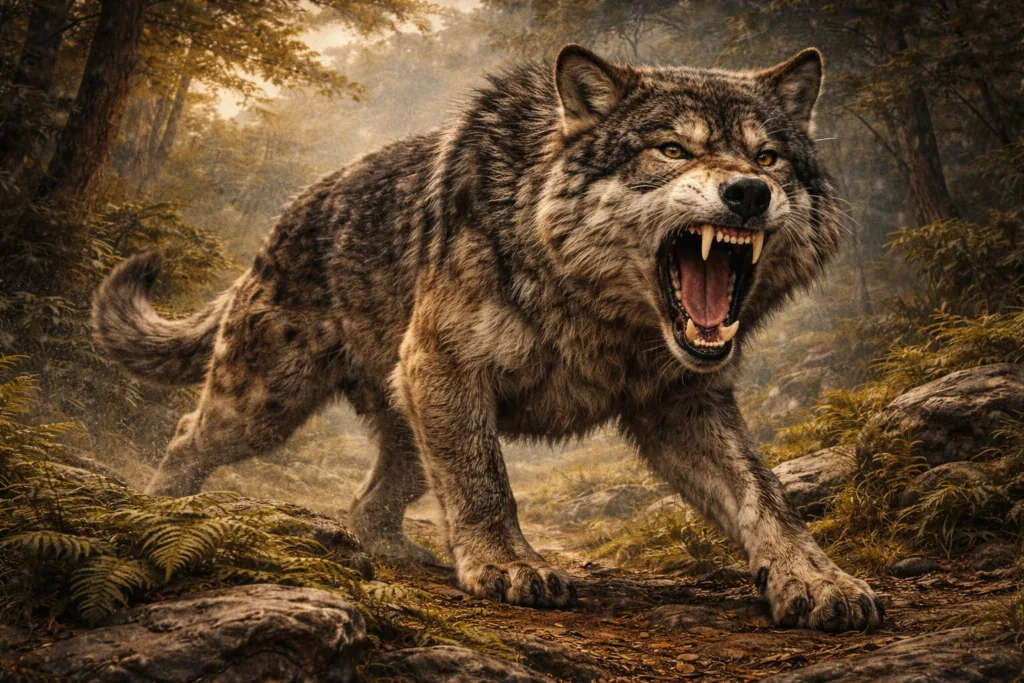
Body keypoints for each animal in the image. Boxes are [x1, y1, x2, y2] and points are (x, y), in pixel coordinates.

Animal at [94, 45, 883, 631]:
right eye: (671, 150)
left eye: (769, 157)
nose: (748, 192)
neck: (595, 312)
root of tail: (284, 218)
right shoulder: (450, 370)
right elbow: (486, 482)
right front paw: (509, 564)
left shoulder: (683, 405)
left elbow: (766, 495)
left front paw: (819, 578)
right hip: (267, 404)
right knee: (187, 435)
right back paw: (162, 512)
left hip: (406, 431)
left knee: (368, 504)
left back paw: (408, 556)